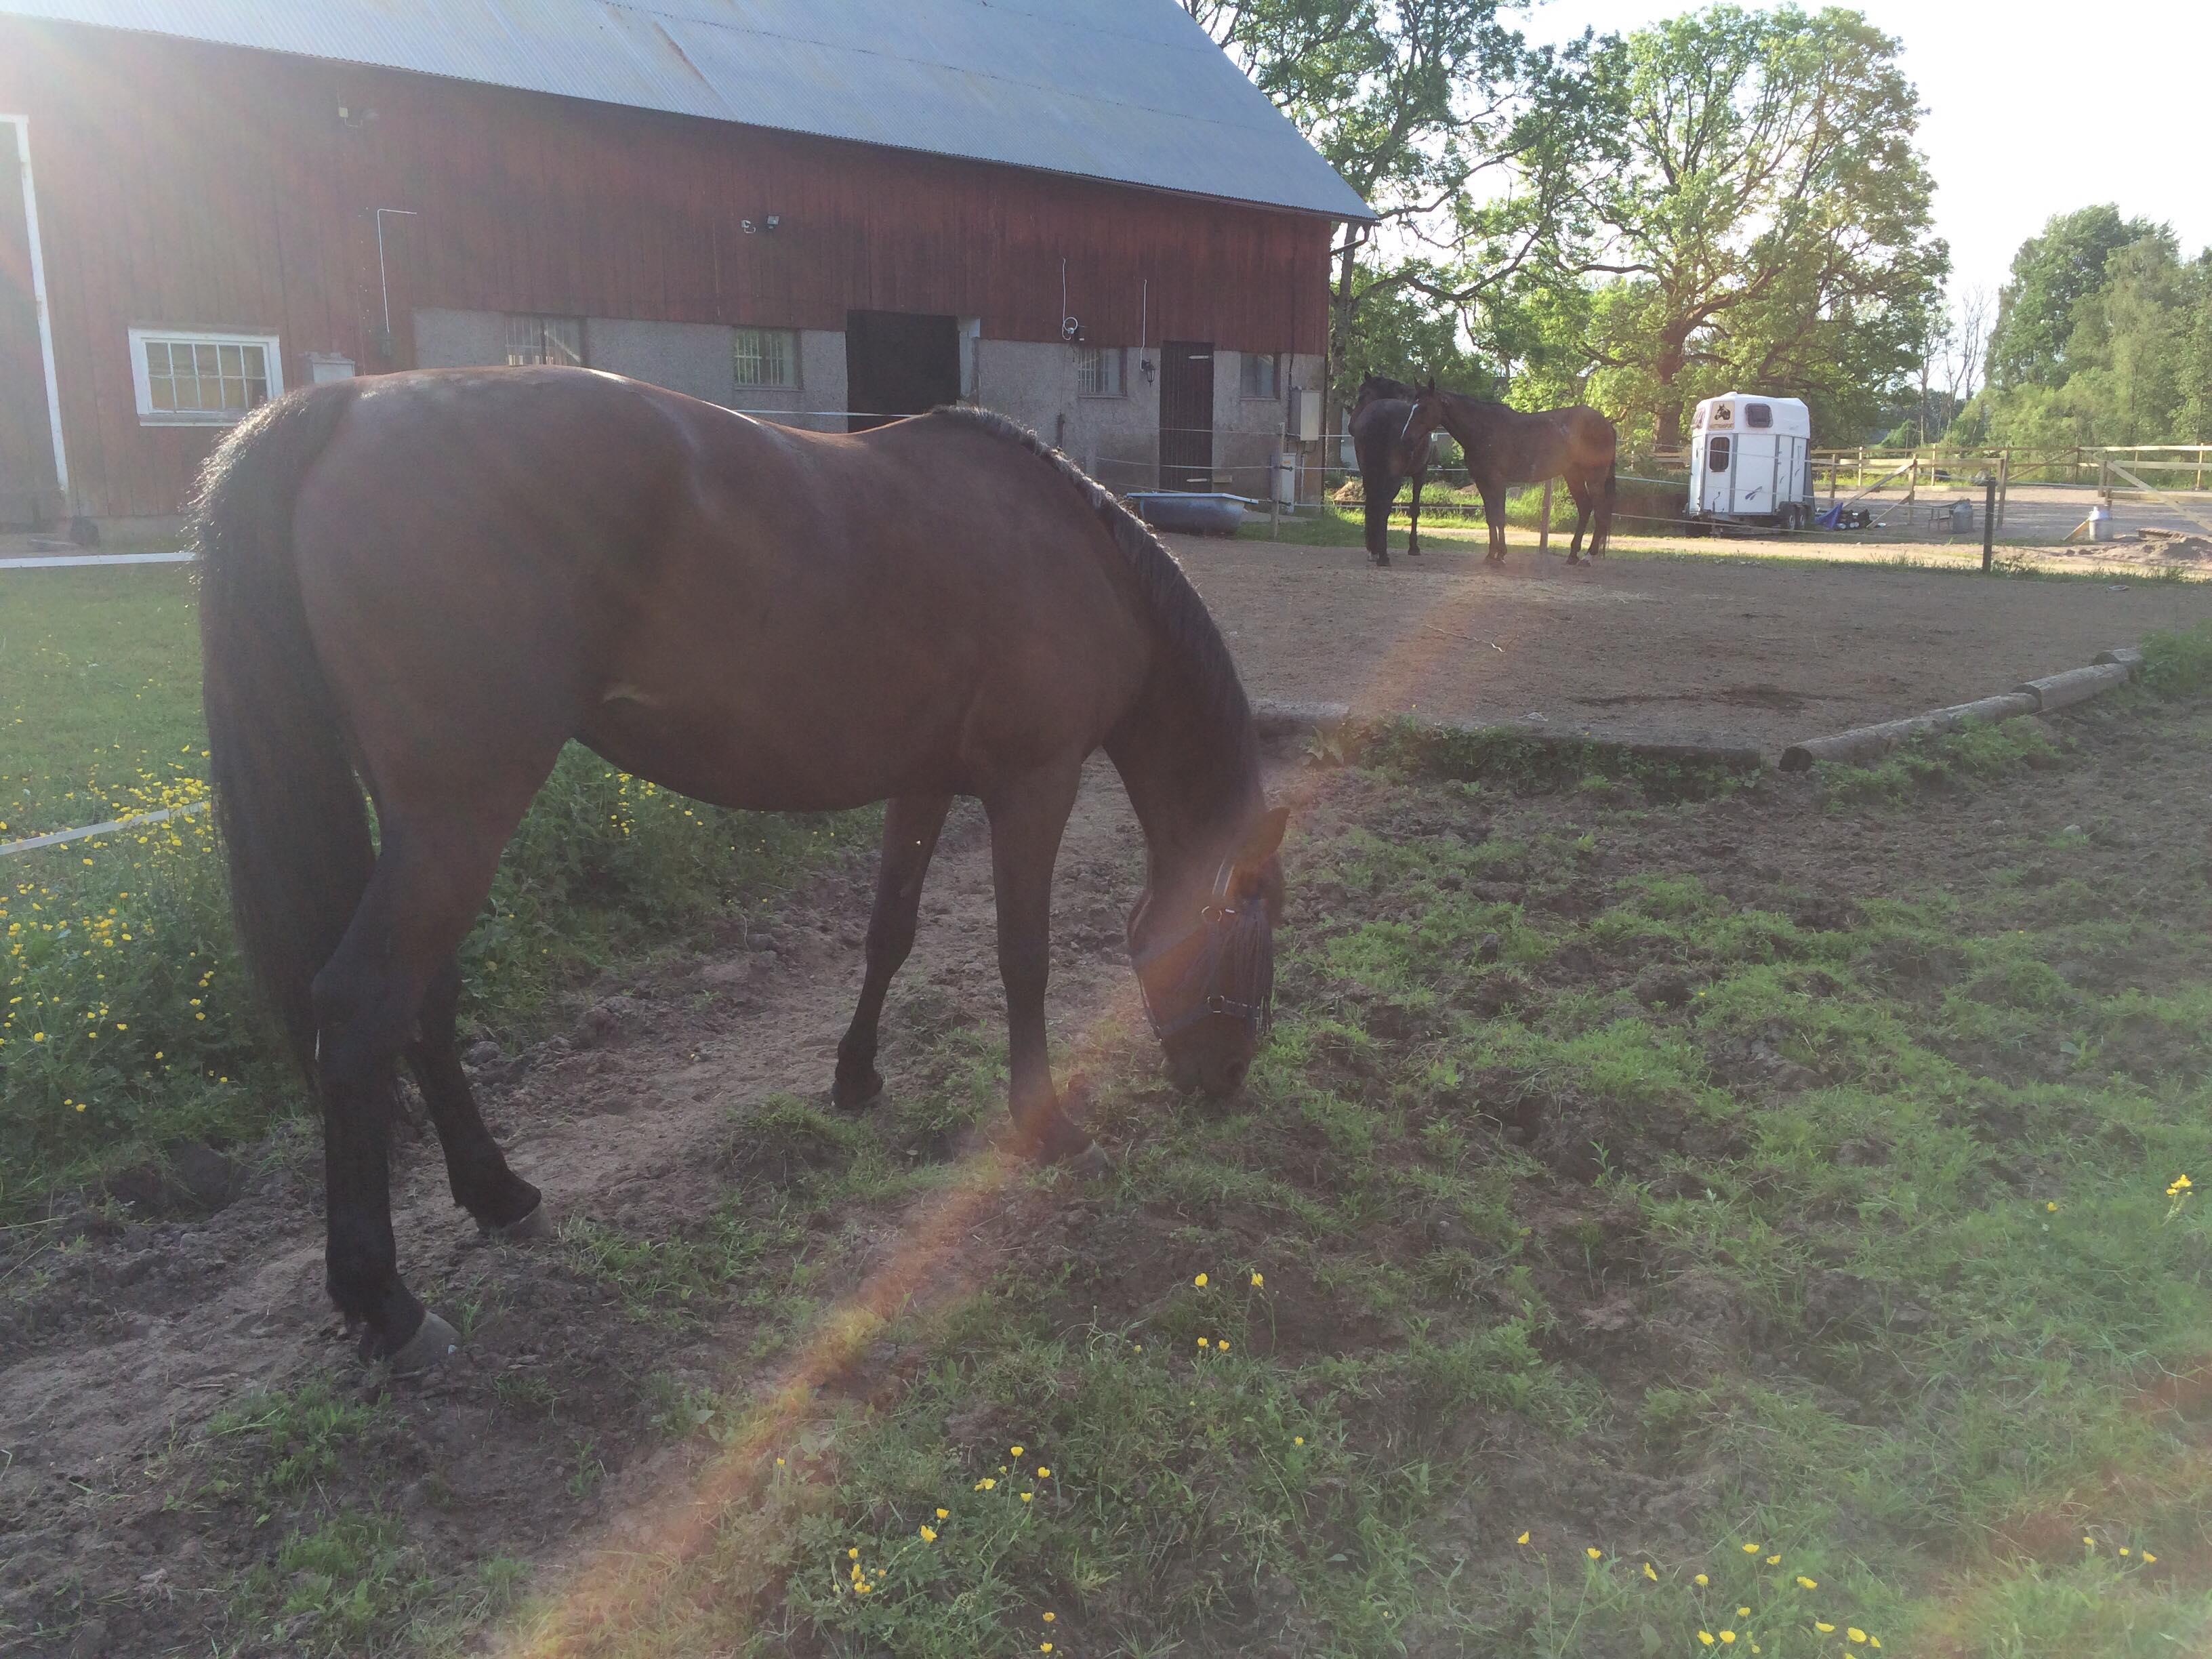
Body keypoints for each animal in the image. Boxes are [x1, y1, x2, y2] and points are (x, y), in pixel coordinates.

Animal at [192, 366, 1288, 1371]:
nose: (1226, 1080)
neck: (1077, 556)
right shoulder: (1035, 785)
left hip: (428, 824)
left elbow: (889, 932)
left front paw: (856, 1077)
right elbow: (1025, 957)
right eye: (1257, 929)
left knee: (425, 1003)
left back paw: (498, 1194)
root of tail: (355, 403)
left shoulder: (924, 783)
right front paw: (1048, 1124)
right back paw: (385, 1300)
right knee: (363, 1007)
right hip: (461, 814)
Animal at [1348, 373, 1434, 568]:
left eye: (1362, 395)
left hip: (1368, 472)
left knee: (1371, 503)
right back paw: (1383, 556)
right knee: (1384, 505)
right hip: (1394, 476)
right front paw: (1413, 547)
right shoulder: (1420, 473)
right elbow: (1414, 508)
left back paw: (1373, 550)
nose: (1350, 427)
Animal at [1405, 382, 1617, 564]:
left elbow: (1500, 517)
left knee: (1600, 514)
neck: (1483, 429)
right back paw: (1573, 555)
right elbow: (1491, 517)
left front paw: (1501, 554)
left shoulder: (1497, 481)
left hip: (1594, 478)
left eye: (1424, 408)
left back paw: (1588, 557)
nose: (1406, 438)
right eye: (1413, 406)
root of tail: (1606, 424)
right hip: (1573, 476)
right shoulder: (1482, 481)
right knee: (1585, 508)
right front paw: (1491, 554)